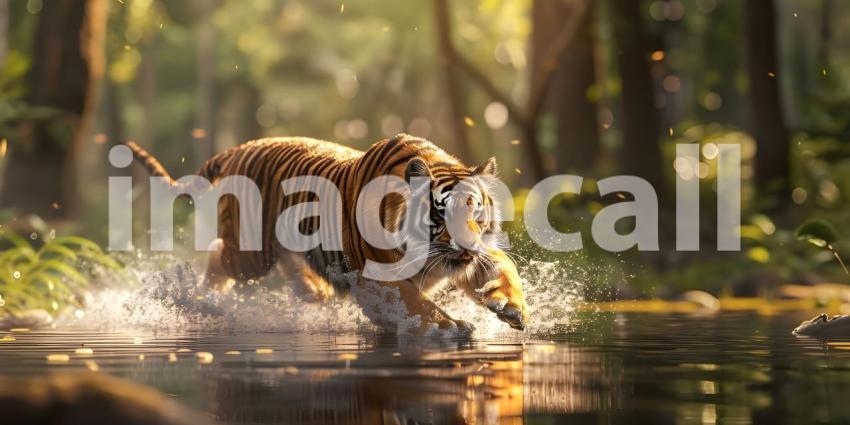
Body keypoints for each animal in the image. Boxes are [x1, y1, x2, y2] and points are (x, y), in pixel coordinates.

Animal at [125, 134, 527, 336]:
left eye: (475, 211)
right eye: (441, 213)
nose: (467, 244)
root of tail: (238, 148)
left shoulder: (472, 257)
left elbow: (504, 269)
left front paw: (511, 307)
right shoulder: (376, 277)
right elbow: (416, 302)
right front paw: (449, 326)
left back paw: (314, 291)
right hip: (249, 255)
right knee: (217, 256)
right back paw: (205, 299)